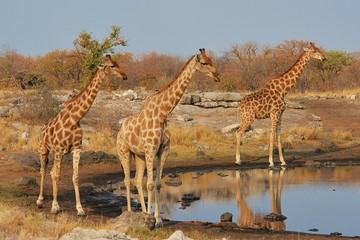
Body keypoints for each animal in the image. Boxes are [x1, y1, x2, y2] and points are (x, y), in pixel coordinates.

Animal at [36, 54, 126, 216]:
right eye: (112, 66)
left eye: (117, 63)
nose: (125, 75)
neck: (75, 118)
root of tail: (42, 128)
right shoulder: (59, 150)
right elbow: (57, 175)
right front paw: (54, 207)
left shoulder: (76, 149)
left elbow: (76, 176)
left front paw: (80, 209)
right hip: (44, 149)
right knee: (43, 171)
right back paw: (40, 201)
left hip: (57, 152)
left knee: (51, 171)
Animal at [116, 49, 221, 227]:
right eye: (204, 62)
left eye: (212, 60)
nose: (217, 76)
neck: (162, 114)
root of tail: (119, 132)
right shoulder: (151, 150)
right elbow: (150, 184)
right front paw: (151, 218)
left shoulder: (163, 150)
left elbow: (158, 184)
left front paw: (157, 219)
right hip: (124, 151)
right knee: (127, 181)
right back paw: (130, 212)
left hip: (139, 155)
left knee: (137, 180)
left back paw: (142, 213)